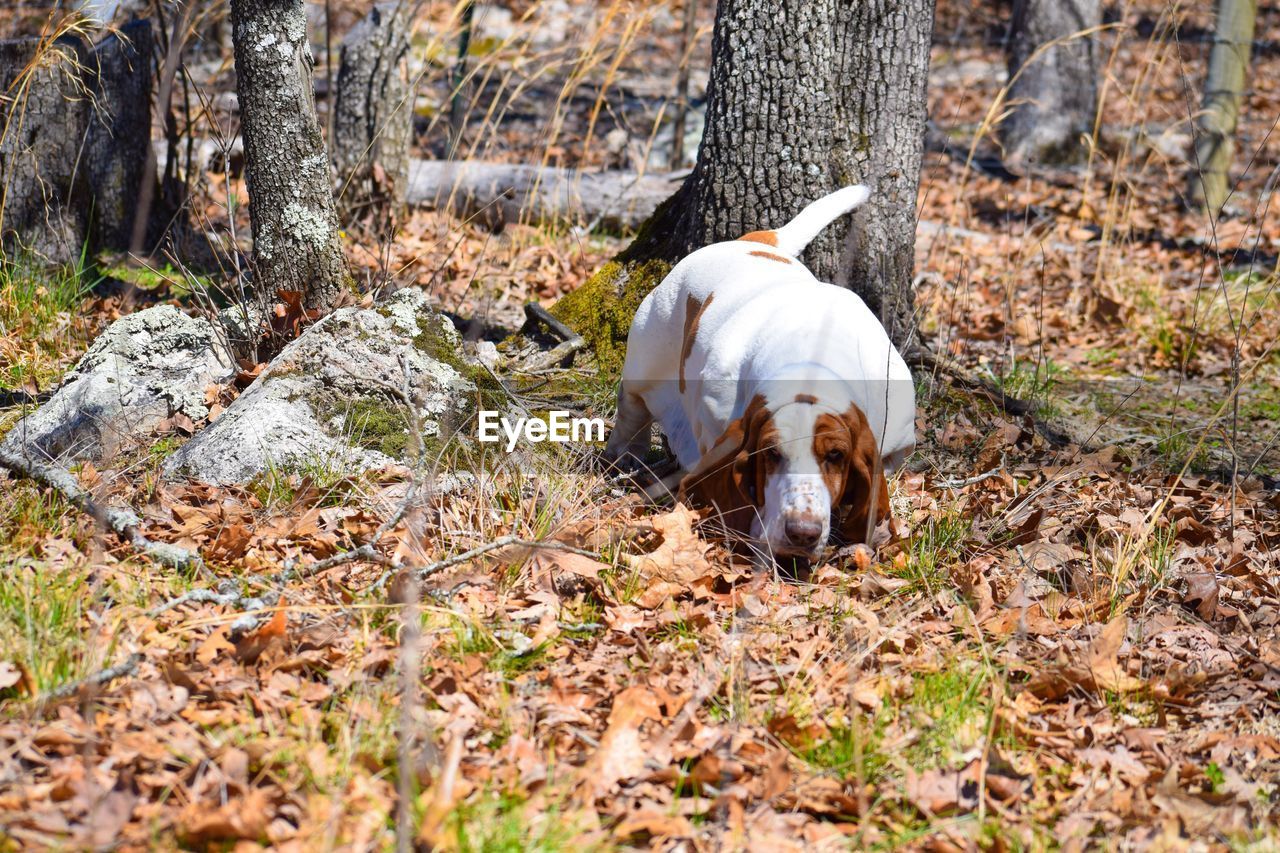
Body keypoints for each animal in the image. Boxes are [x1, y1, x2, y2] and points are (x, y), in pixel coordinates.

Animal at [604, 183, 916, 560]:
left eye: (836, 455)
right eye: (772, 454)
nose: (802, 532)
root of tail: (756, 241)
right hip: (646, 359)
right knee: (632, 411)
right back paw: (622, 458)